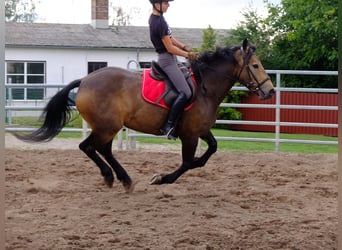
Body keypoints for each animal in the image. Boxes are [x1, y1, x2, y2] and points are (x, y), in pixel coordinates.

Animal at [16, 39, 276, 191]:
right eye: (255, 66)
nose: (271, 91)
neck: (205, 87)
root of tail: (86, 80)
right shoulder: (190, 135)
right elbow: (187, 162)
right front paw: (162, 178)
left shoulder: (201, 130)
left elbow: (209, 151)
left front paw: (188, 167)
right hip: (107, 127)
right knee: (88, 147)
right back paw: (113, 177)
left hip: (108, 127)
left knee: (103, 149)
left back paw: (122, 179)